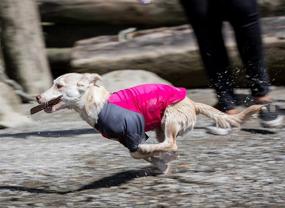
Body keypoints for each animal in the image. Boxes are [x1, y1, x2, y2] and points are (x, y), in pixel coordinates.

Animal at [35, 72, 262, 172]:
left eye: (58, 85)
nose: (37, 97)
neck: (97, 104)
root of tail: (192, 102)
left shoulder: (134, 131)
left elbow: (138, 152)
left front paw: (158, 159)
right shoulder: (125, 138)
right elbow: (138, 154)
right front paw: (161, 162)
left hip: (169, 117)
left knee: (171, 143)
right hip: (161, 126)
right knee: (167, 144)